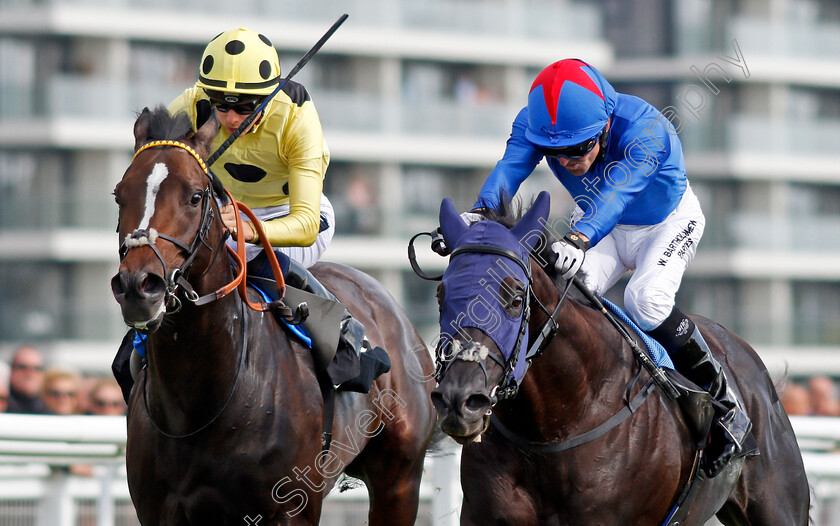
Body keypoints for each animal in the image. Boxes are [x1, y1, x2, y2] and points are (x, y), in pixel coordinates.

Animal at [110, 106, 436, 524]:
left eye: (195, 196)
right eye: (119, 195)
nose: (138, 287)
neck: (200, 407)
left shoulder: (291, 507)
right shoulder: (160, 510)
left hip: (399, 480)